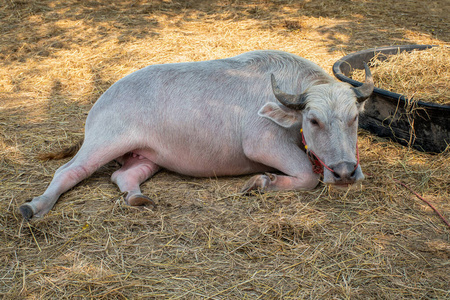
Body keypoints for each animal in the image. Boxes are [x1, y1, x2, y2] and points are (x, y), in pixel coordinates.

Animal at [19, 51, 372, 220]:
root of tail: (102, 99)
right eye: (313, 120)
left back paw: (138, 198)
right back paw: (33, 207)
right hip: (105, 141)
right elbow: (308, 177)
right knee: (69, 170)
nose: (344, 172)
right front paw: (260, 182)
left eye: (354, 118)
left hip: (150, 157)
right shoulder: (262, 144)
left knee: (123, 175)